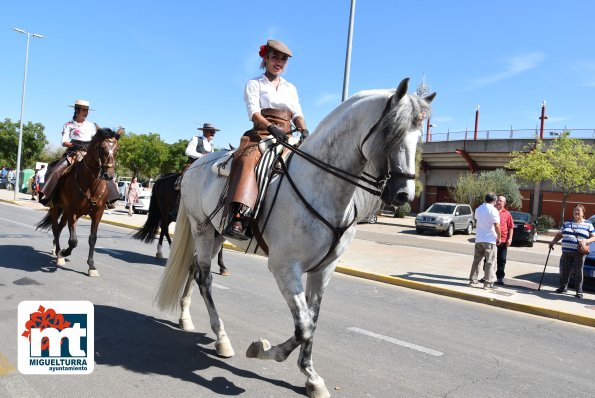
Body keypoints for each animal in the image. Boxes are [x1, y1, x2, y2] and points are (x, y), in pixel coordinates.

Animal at [35, 128, 123, 276]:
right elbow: (73, 241)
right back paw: (59, 253)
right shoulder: (73, 212)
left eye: (117, 149)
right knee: (55, 228)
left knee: (59, 227)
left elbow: (92, 238)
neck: (90, 184)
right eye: (101, 147)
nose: (108, 175)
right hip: (55, 208)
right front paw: (64, 253)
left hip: (65, 211)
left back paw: (56, 250)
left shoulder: (98, 213)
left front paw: (91, 266)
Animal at [156, 78, 436, 398]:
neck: (322, 187)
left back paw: (185, 318)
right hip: (201, 229)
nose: (404, 195)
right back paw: (222, 338)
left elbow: (312, 322)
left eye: (419, 135)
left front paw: (311, 377)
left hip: (214, 233)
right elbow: (303, 326)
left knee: (193, 269)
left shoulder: (323, 270)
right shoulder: (284, 267)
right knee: (205, 279)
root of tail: (195, 165)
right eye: (392, 131)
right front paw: (262, 349)